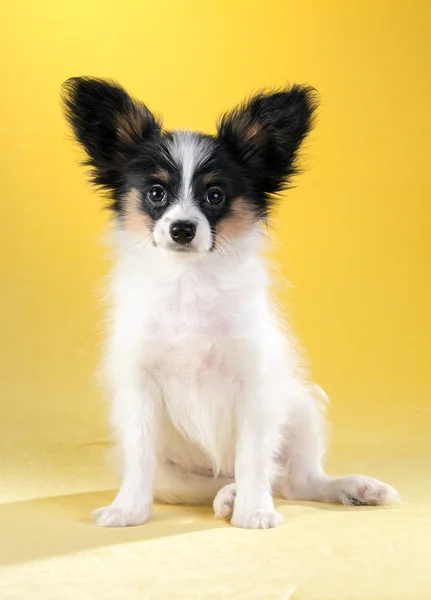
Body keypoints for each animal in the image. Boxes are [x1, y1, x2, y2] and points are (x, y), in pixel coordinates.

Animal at [61, 76, 398, 528]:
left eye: (215, 195)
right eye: (156, 193)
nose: (182, 229)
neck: (189, 282)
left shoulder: (255, 384)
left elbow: (253, 457)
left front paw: (254, 512)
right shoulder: (141, 387)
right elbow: (141, 457)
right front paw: (128, 510)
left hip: (301, 408)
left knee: (294, 480)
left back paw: (351, 488)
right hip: (179, 477)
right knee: (227, 483)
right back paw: (227, 495)